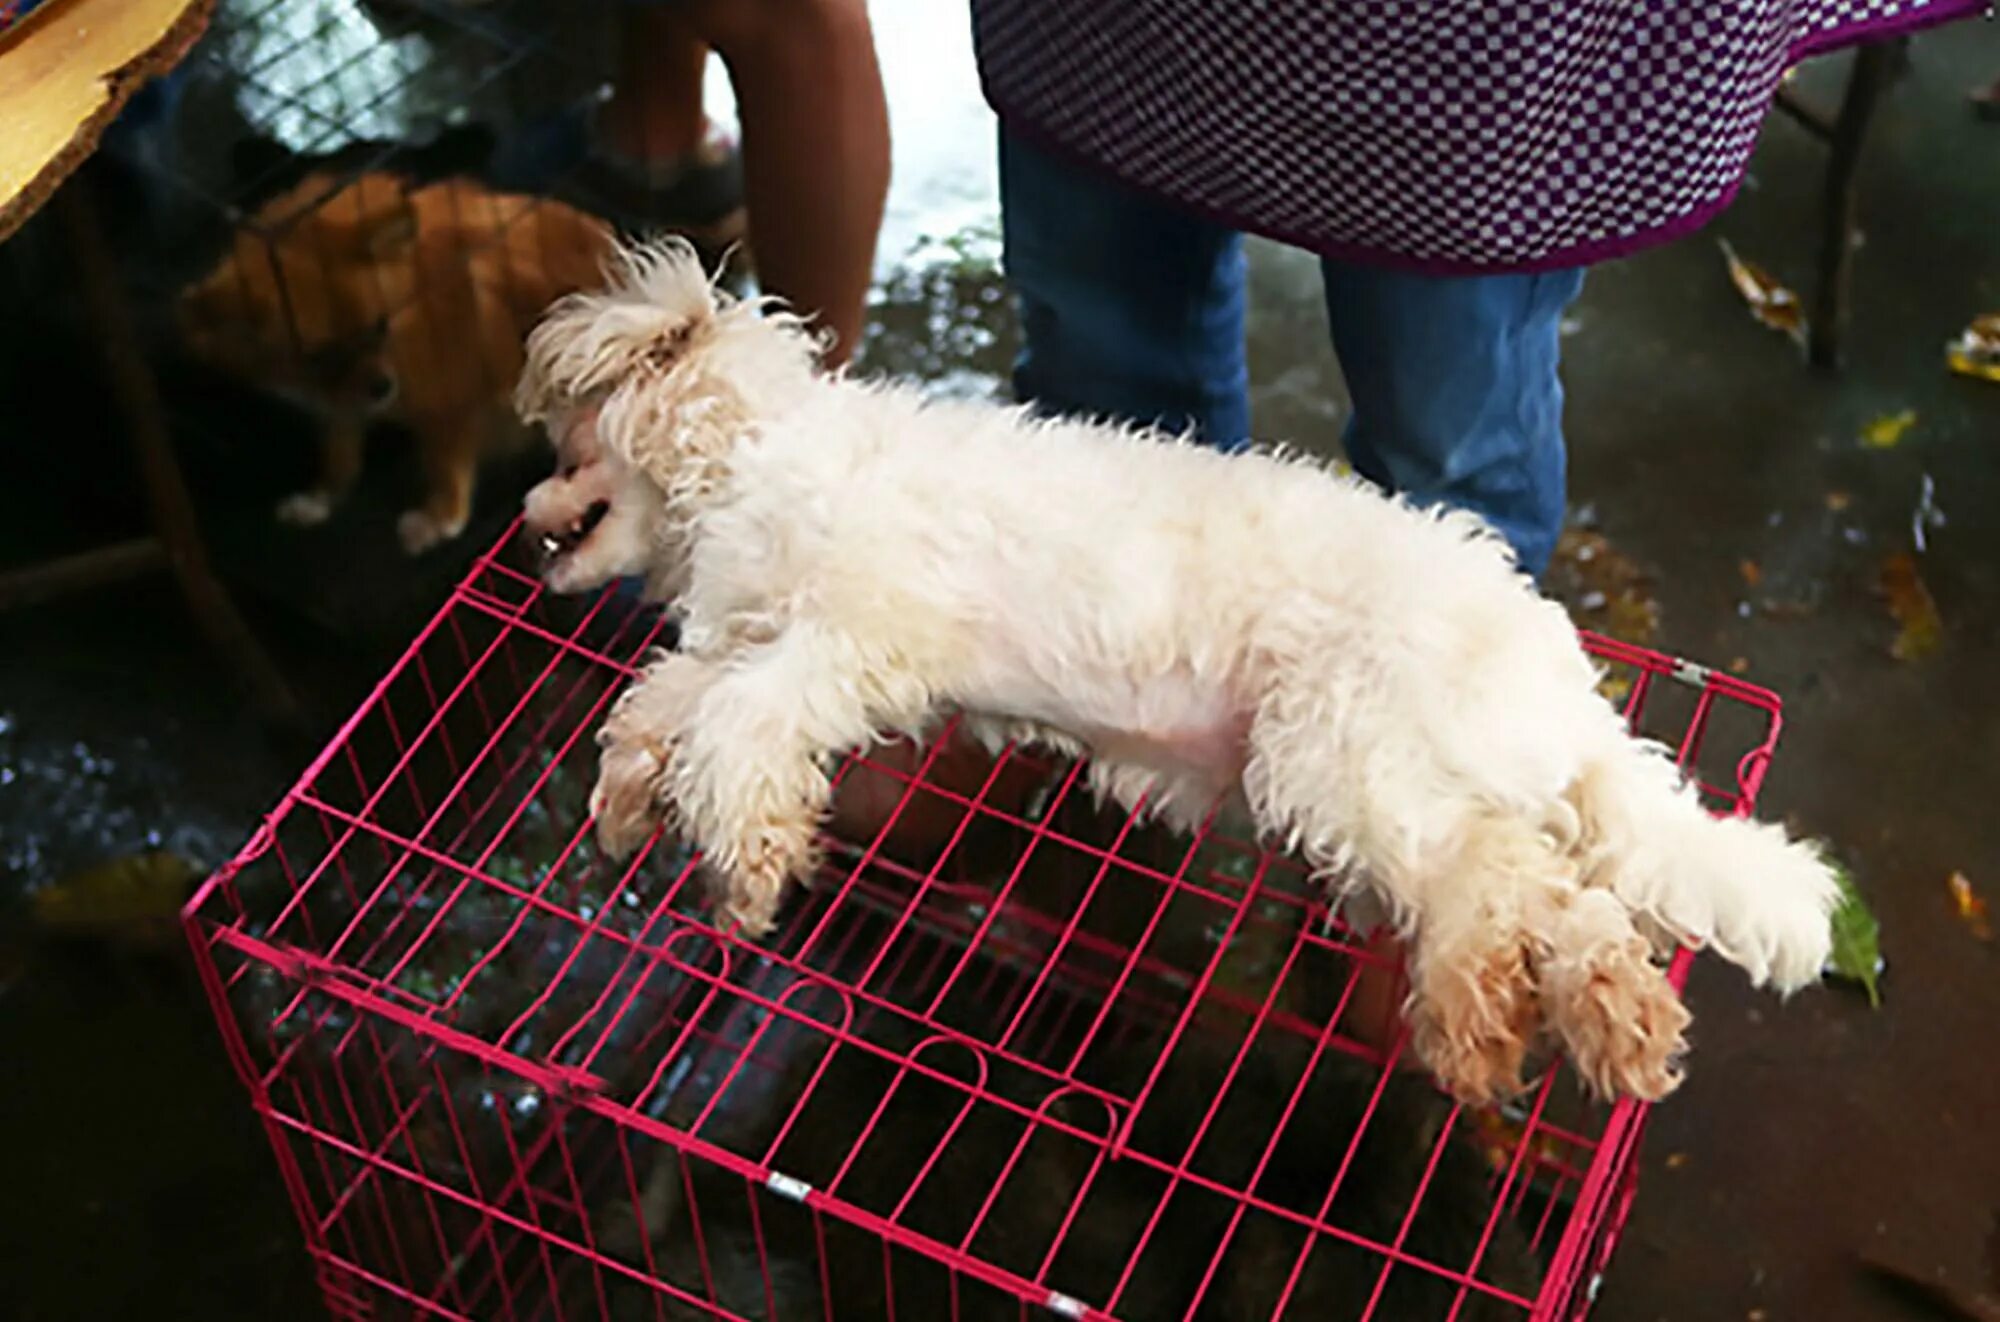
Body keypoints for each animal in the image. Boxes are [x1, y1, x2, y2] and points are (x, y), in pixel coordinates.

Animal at [508, 237, 1832, 1104]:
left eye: (563, 445)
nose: (523, 517)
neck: (758, 451)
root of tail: (1553, 676)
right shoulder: (749, 636)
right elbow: (659, 705)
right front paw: (623, 809)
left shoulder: (837, 642)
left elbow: (731, 730)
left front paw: (745, 874)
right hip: (1405, 782)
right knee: (1557, 902)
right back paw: (1588, 1032)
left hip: (1343, 760)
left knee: (1507, 886)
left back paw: (1506, 1033)